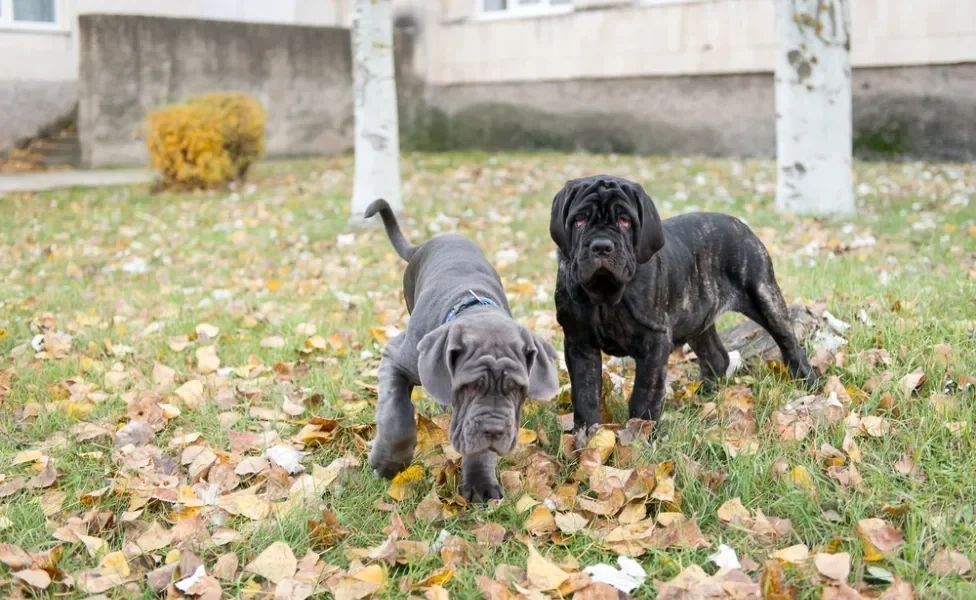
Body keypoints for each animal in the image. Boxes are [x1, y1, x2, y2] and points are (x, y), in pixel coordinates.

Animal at [364, 200, 556, 502]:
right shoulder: (396, 358)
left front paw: (480, 483)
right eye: (469, 385)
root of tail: (424, 245)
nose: (494, 430)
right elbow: (397, 415)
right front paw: (388, 464)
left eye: (517, 388)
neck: (473, 306)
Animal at [552, 173, 820, 432]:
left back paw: (809, 384)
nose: (601, 246)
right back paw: (703, 397)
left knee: (789, 344)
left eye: (625, 221)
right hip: (696, 319)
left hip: (764, 296)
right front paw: (586, 436)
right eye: (579, 220)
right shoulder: (579, 343)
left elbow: (645, 393)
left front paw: (640, 433)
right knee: (716, 357)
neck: (606, 295)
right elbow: (585, 393)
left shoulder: (655, 341)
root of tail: (741, 225)